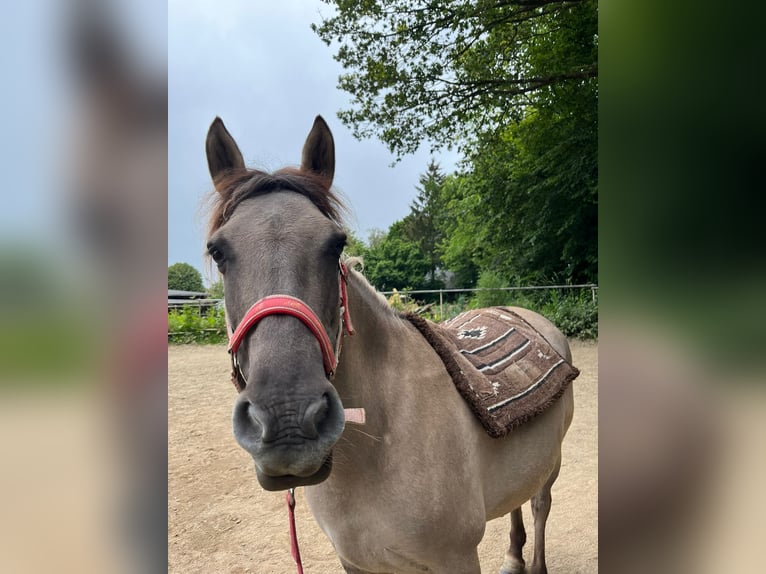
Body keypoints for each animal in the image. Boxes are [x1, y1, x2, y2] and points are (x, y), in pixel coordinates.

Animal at [204, 115, 576, 572]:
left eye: (336, 244)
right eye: (218, 251)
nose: (288, 419)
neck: (377, 446)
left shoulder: (456, 558)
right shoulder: (357, 562)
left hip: (552, 460)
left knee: (540, 503)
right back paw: (513, 556)